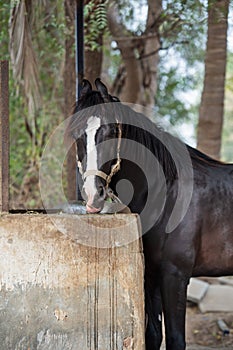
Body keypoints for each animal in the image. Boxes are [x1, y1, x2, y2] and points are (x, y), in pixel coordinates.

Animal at [66, 79, 233, 350]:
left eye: (111, 131)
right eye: (75, 133)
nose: (92, 196)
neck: (166, 194)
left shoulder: (175, 276)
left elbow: (175, 339)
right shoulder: (152, 275)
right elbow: (153, 334)